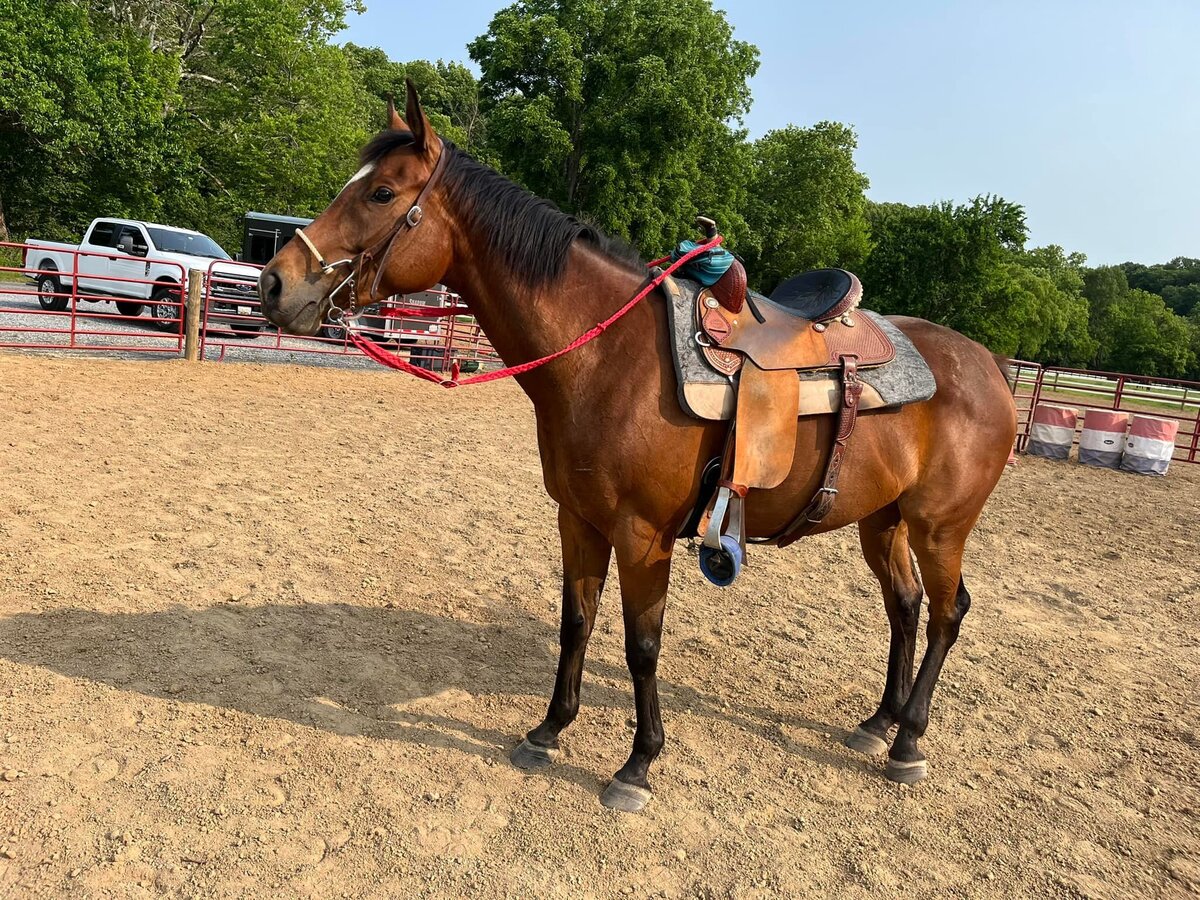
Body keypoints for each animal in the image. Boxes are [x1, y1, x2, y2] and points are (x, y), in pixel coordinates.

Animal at [258, 82, 1017, 813]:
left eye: (382, 193)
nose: (274, 282)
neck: (606, 355)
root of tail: (988, 367)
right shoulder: (578, 518)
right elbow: (576, 622)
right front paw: (548, 730)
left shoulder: (643, 534)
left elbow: (641, 645)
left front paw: (638, 765)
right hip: (882, 520)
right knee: (905, 607)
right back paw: (878, 723)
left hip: (940, 526)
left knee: (947, 613)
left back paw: (908, 741)